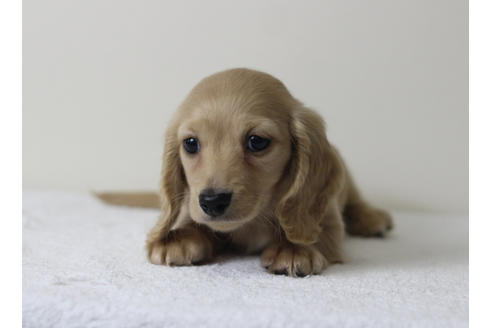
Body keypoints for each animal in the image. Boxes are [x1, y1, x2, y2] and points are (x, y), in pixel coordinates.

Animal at [99, 68, 392, 276]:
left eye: (257, 141)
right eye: (191, 143)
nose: (212, 201)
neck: (254, 221)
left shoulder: (328, 218)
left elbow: (320, 233)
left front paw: (294, 248)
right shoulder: (190, 204)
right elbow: (191, 222)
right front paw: (178, 238)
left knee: (356, 200)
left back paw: (372, 218)